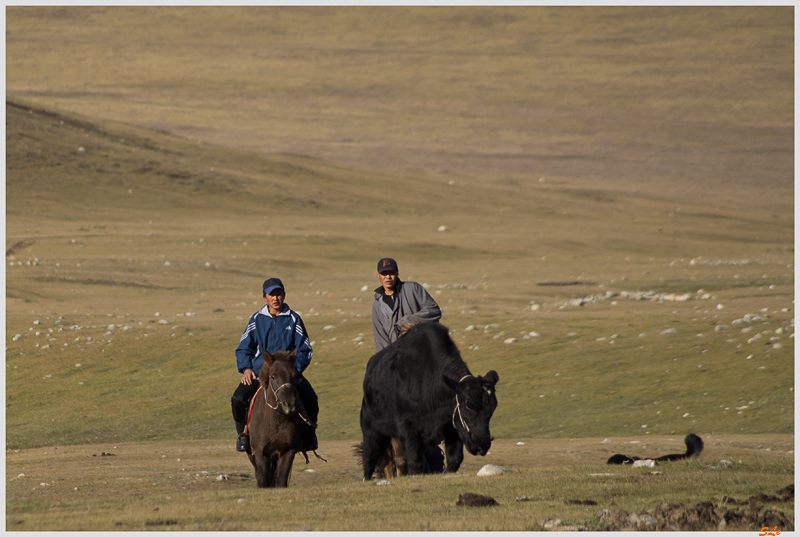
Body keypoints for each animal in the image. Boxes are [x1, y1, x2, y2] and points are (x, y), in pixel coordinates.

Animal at [245, 350, 314, 488]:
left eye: (294, 375)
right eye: (273, 376)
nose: (289, 404)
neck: (276, 421)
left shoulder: (288, 452)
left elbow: (281, 481)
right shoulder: (260, 453)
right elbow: (263, 481)